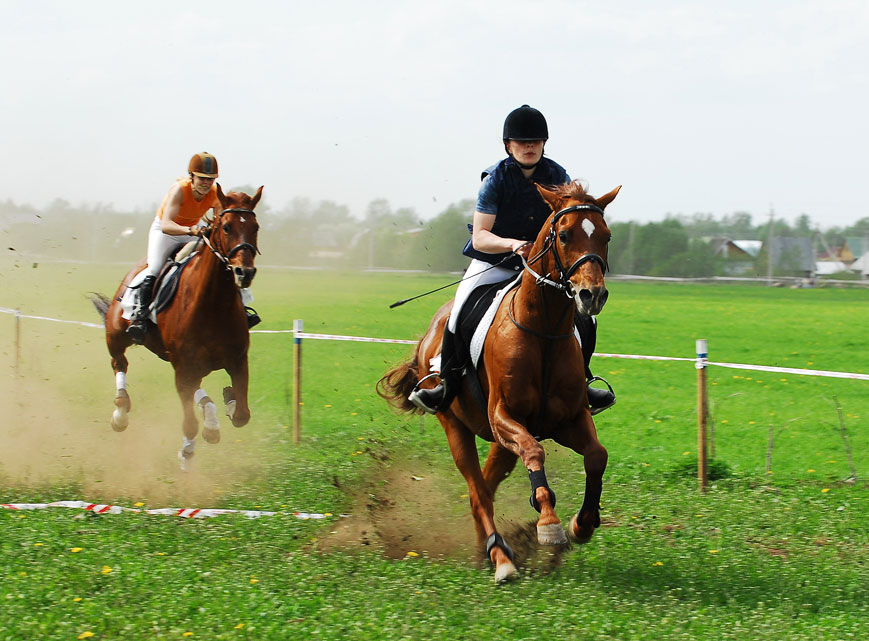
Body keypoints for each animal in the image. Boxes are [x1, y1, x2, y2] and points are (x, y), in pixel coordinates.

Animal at [91, 182, 262, 468]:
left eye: (255, 227)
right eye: (226, 227)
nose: (244, 272)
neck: (213, 305)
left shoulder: (238, 360)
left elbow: (241, 414)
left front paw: (227, 402)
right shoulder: (183, 365)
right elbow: (189, 423)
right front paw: (187, 455)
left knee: (197, 388)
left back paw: (212, 418)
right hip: (117, 335)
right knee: (119, 363)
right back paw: (120, 414)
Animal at [378, 180, 616, 580]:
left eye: (606, 236)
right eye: (564, 235)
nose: (592, 295)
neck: (543, 332)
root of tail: (430, 333)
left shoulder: (568, 419)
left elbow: (597, 456)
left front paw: (581, 525)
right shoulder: (505, 417)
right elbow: (535, 453)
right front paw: (548, 524)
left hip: (500, 444)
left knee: (486, 488)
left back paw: (488, 551)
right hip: (455, 425)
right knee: (477, 491)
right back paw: (501, 558)